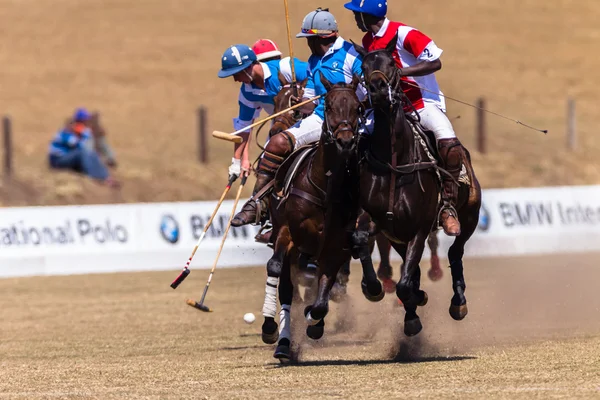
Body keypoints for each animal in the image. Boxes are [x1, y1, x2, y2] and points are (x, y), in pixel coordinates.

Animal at [354, 38, 480, 338]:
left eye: (392, 63)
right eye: (364, 66)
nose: (377, 90)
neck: (394, 159)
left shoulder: (419, 229)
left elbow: (405, 283)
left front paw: (413, 303)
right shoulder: (384, 224)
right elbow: (363, 240)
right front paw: (375, 289)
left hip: (470, 215)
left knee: (454, 252)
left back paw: (458, 302)